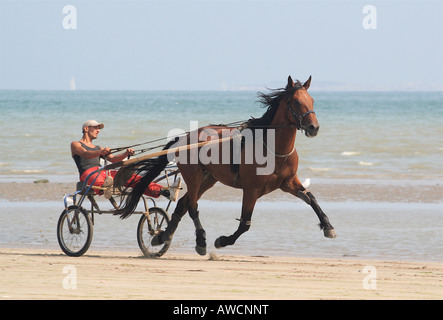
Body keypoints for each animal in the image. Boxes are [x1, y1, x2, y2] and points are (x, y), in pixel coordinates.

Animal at [116, 75, 338, 255]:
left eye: (312, 100)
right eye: (296, 101)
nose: (314, 127)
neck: (273, 148)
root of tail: (186, 137)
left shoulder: (288, 182)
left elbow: (311, 198)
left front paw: (328, 226)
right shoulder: (251, 189)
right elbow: (245, 223)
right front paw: (222, 240)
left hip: (208, 178)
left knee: (183, 204)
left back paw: (162, 236)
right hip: (193, 175)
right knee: (192, 206)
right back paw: (200, 240)